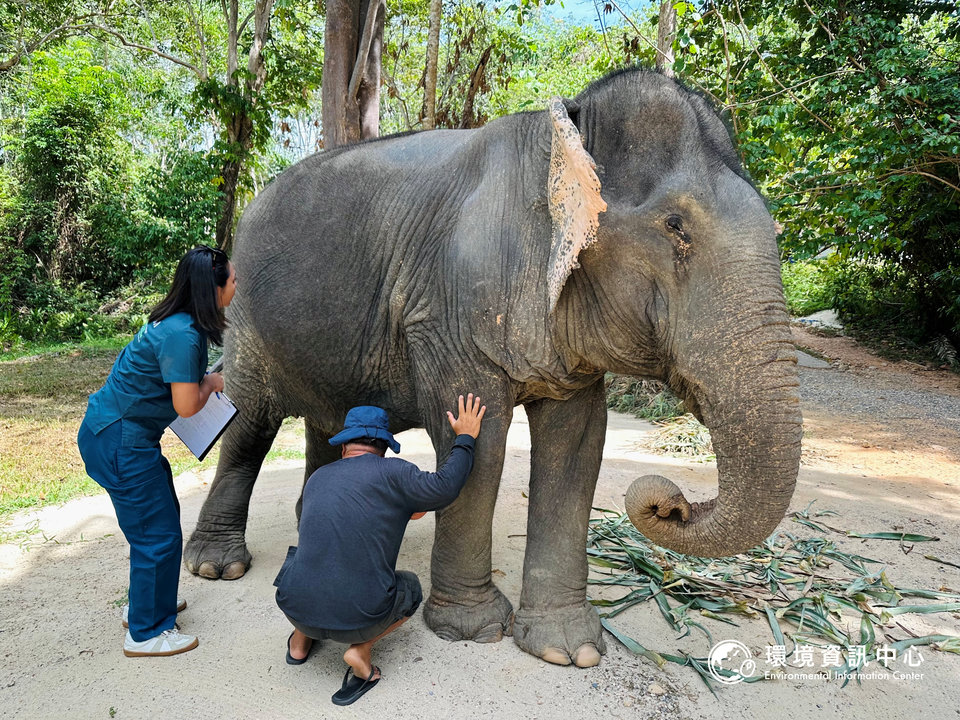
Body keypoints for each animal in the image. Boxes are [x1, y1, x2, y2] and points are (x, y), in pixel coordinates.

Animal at [183, 67, 802, 668]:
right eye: (676, 227)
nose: (670, 503)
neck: (563, 138)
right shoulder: (451, 307)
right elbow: (478, 440)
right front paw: (472, 631)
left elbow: (579, 445)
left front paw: (567, 651)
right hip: (247, 318)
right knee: (248, 421)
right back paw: (217, 566)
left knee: (326, 421)